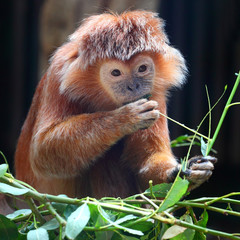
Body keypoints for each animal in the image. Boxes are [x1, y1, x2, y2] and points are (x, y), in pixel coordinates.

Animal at [14, 10, 217, 199]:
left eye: (142, 69)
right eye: (116, 73)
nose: (133, 87)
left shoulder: (155, 95)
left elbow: (147, 164)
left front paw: (185, 172)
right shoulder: (58, 74)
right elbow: (43, 151)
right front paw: (126, 117)